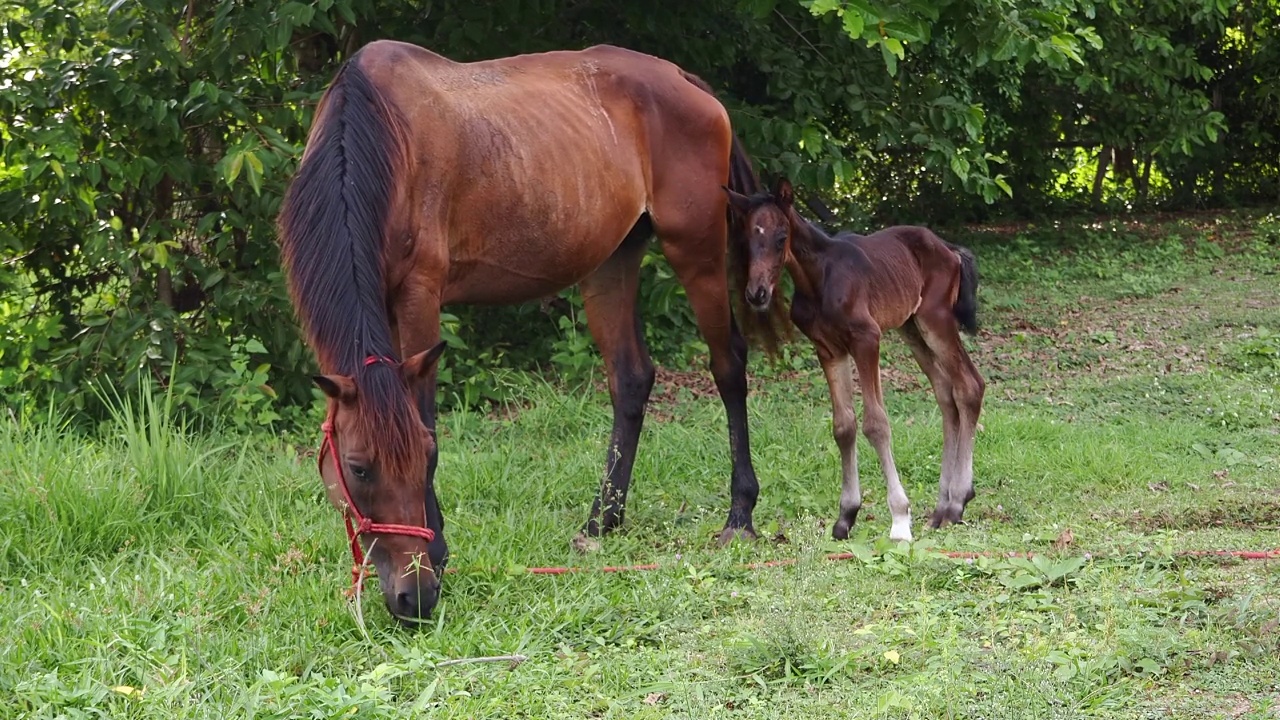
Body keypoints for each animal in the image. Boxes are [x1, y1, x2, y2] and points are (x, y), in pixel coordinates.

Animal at [277, 40, 768, 622]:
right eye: (357, 468)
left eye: (424, 457)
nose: (413, 596)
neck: (376, 143)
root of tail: (683, 79)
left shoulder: (420, 293)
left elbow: (426, 413)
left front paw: (439, 553)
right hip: (612, 263)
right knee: (631, 379)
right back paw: (601, 522)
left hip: (697, 253)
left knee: (728, 366)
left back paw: (739, 514)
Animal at [727, 178, 983, 538]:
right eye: (747, 241)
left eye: (780, 238)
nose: (757, 293)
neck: (819, 277)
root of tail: (949, 249)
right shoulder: (829, 350)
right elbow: (843, 426)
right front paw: (846, 516)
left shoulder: (866, 340)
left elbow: (876, 424)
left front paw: (900, 520)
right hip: (911, 327)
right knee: (946, 394)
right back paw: (943, 506)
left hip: (936, 320)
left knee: (969, 386)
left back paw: (957, 501)